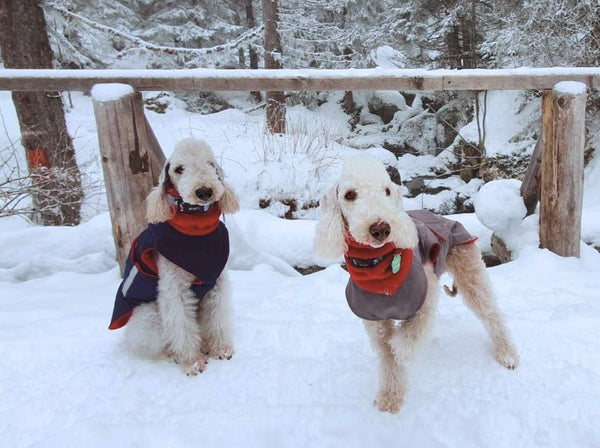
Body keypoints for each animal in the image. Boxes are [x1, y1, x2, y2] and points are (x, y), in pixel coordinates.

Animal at [109, 138, 240, 376]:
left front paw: (220, 349)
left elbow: (217, 317)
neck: (196, 230)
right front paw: (192, 362)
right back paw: (174, 355)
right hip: (149, 316)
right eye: (179, 169)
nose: (205, 191)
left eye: (210, 163)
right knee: (158, 343)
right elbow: (182, 328)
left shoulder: (217, 283)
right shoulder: (174, 290)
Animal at [312, 157, 516, 412]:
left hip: (467, 264)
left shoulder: (426, 295)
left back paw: (507, 353)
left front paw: (400, 347)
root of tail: (445, 218)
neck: (380, 269)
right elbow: (387, 355)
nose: (381, 229)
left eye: (387, 191)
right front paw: (390, 396)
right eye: (350, 195)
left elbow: (409, 335)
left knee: (490, 312)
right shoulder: (375, 319)